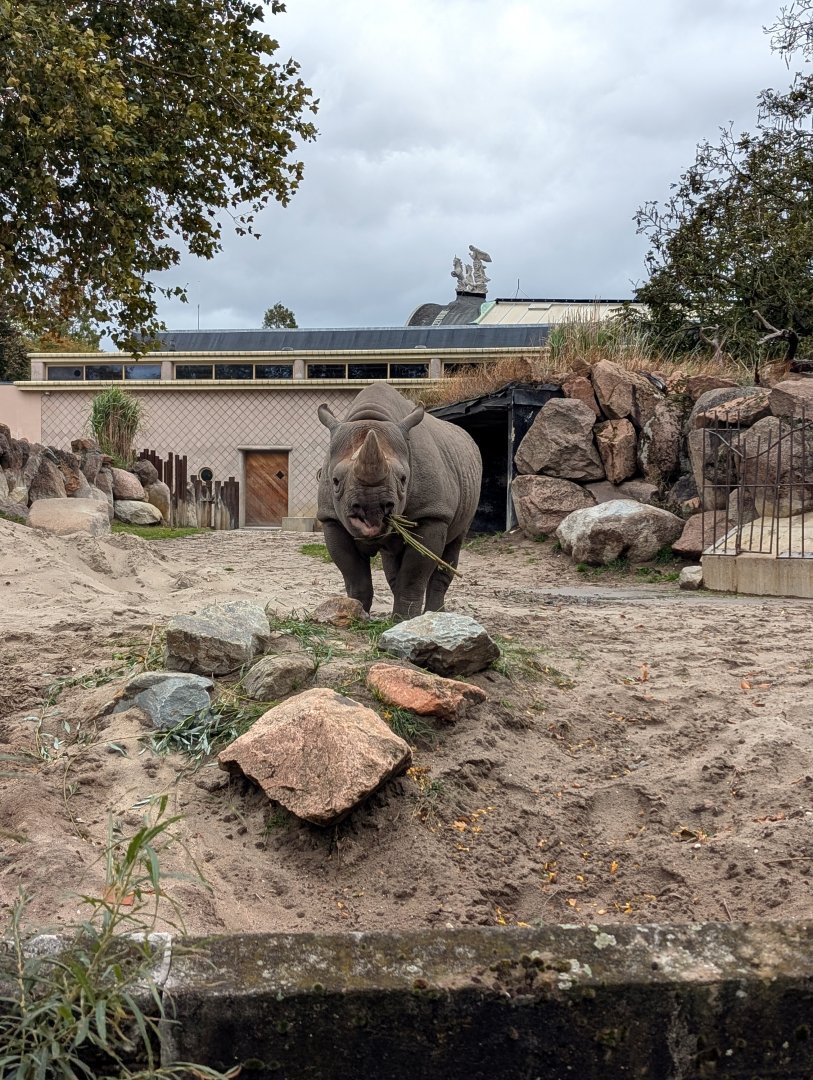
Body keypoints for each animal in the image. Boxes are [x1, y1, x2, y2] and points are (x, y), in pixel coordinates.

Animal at [317, 383, 482, 620]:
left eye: (404, 479)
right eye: (335, 481)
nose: (372, 509)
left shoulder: (431, 514)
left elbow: (413, 575)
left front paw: (404, 619)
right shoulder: (331, 518)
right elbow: (353, 574)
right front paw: (354, 614)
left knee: (453, 544)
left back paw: (434, 614)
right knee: (392, 557)